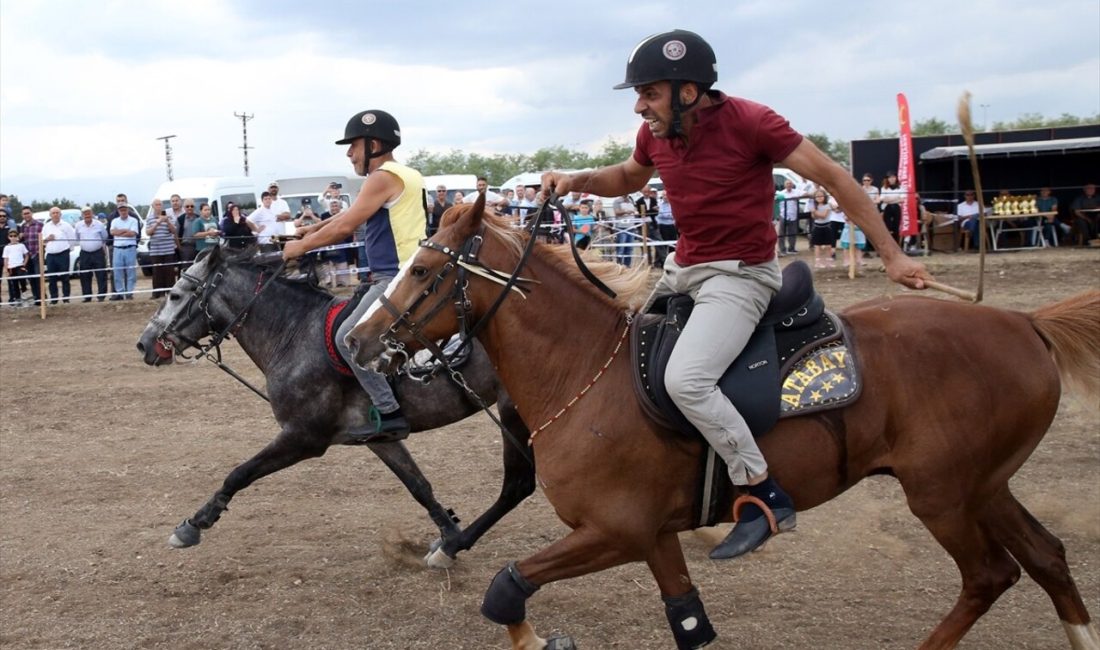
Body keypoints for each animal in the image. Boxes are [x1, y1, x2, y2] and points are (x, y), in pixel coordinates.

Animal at [135, 246, 534, 567]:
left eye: (175, 295)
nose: (144, 344)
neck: (294, 333)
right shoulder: (381, 439)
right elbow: (419, 486)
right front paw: (448, 530)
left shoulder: (304, 437)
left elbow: (239, 473)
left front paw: (194, 524)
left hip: (514, 416)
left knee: (518, 485)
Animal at [345, 194, 1100, 650]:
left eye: (423, 270)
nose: (357, 339)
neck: (588, 373)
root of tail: (1023, 323)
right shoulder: (651, 536)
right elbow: (688, 622)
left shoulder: (613, 532)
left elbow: (506, 588)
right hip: (984, 486)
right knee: (1046, 558)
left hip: (943, 494)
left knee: (989, 576)